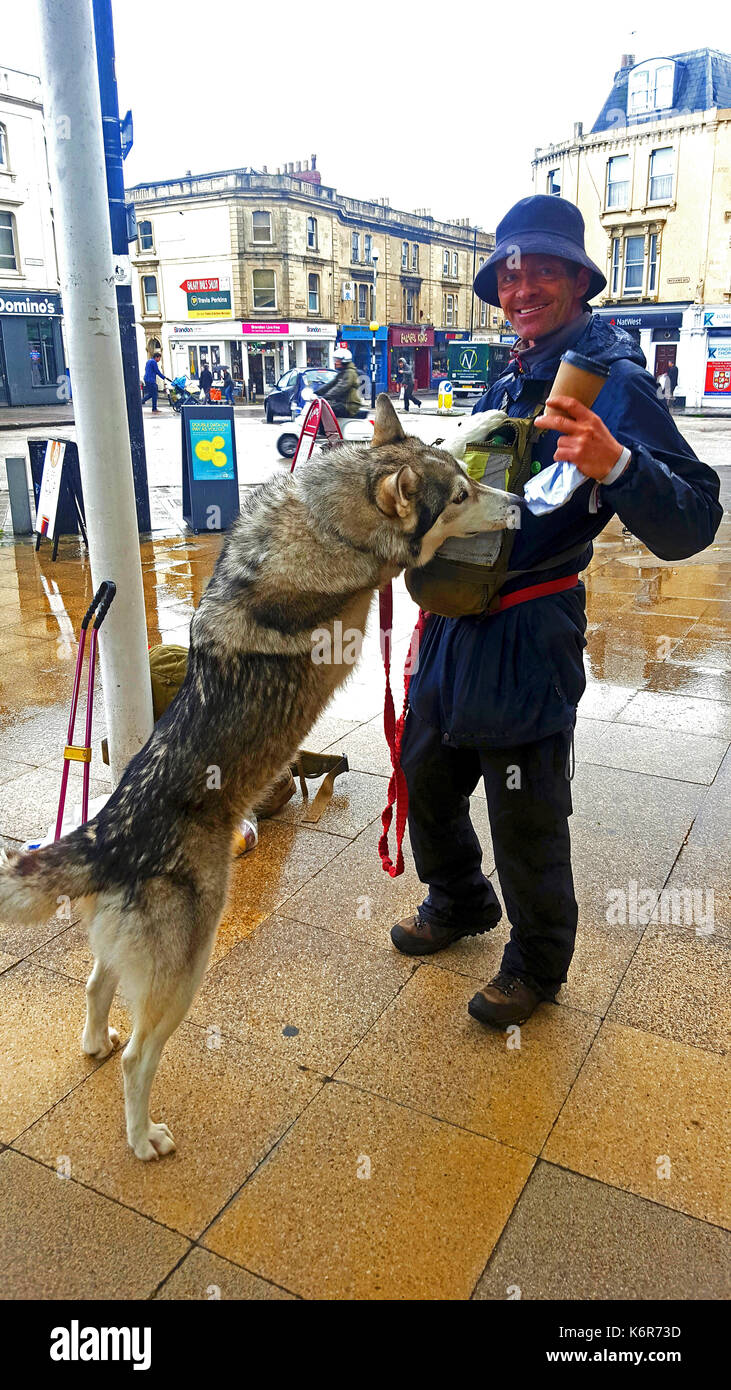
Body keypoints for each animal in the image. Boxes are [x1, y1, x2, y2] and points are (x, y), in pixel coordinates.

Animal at [0, 397, 522, 1156]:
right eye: (458, 499)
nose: (517, 505)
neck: (326, 518)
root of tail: (104, 839)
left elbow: (443, 432)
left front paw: (482, 418)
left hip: (128, 953)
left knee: (96, 987)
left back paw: (95, 1042)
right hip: (187, 968)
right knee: (139, 1058)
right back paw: (142, 1136)